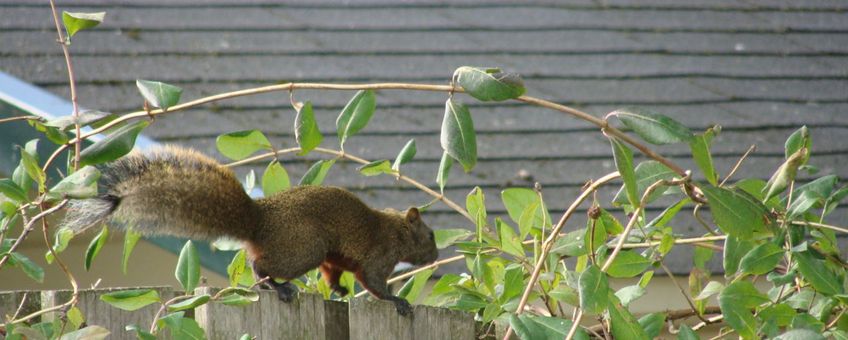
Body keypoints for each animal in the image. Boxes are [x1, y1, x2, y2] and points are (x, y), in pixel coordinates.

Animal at [61, 146, 438, 316]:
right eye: (431, 236)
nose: (436, 254)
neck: (397, 229)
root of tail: (259, 221)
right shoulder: (379, 255)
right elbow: (374, 282)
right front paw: (397, 300)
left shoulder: (337, 258)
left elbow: (334, 272)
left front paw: (340, 291)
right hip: (304, 247)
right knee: (261, 267)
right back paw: (279, 287)